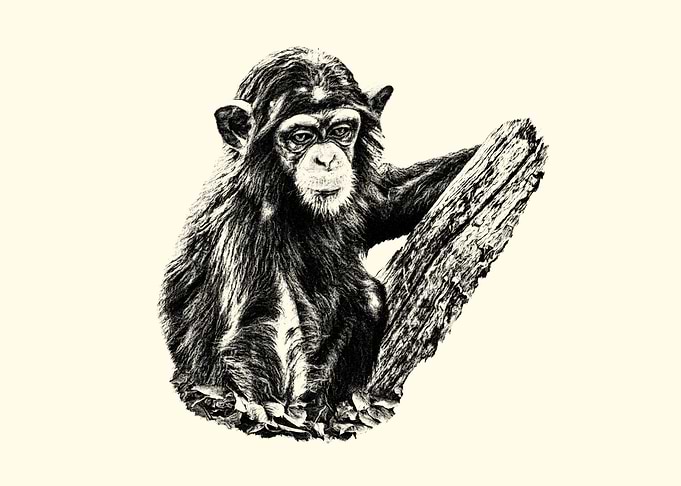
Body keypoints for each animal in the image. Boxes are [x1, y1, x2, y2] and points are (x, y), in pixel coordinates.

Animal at [160, 47, 477, 412]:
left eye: (341, 131)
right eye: (301, 137)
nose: (326, 159)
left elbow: (385, 200)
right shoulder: (243, 226)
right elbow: (265, 329)